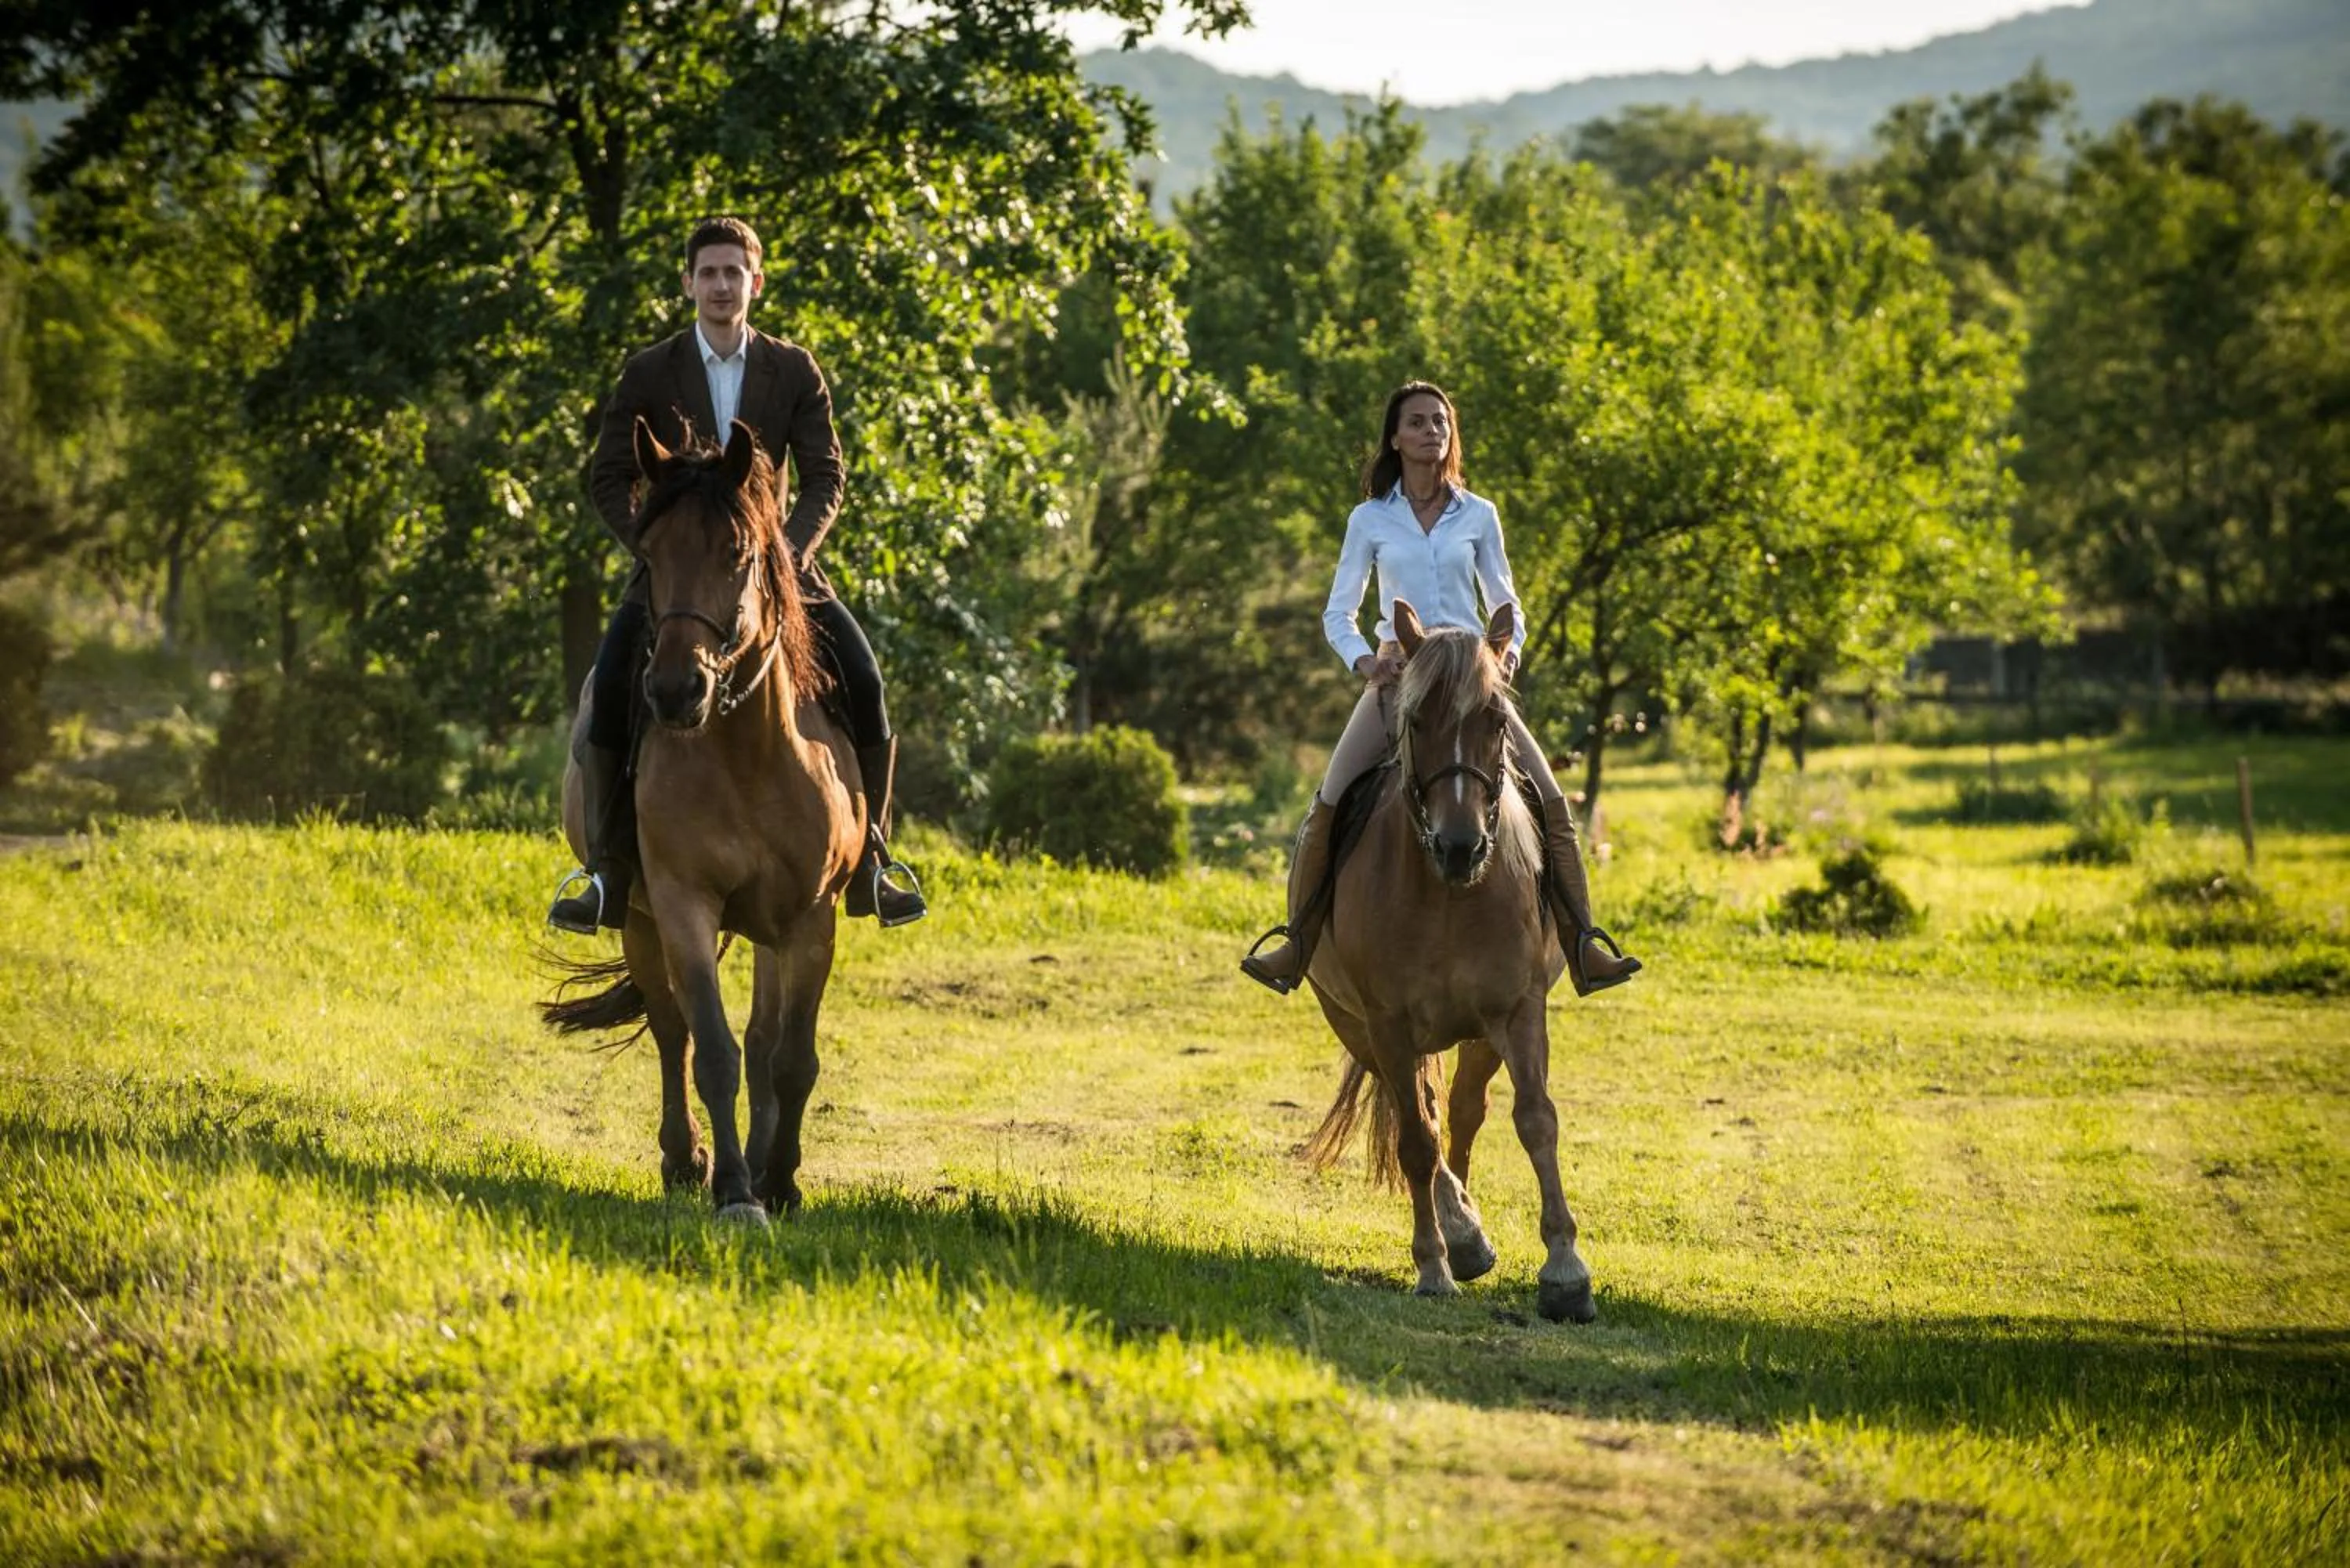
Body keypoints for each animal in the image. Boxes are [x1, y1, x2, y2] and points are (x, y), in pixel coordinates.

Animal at [541, 417, 866, 1222]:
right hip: (638, 915)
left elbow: (789, 1057)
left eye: (739, 553)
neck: (745, 751)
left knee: (763, 1038)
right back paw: (685, 1159)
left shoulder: (810, 918)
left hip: (771, 930)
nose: (676, 690)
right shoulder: (682, 903)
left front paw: (780, 1180)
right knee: (672, 1031)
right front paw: (735, 1191)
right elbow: (712, 1050)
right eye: (650, 554)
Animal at [1298, 600, 1598, 1323]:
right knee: (1426, 1122)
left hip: (1478, 1034)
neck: (1449, 895)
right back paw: (1457, 1233)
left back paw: (1467, 1230)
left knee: (1463, 1114)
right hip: (1359, 1027)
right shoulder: (1386, 1024)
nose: (1461, 847)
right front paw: (1433, 1265)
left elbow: (1536, 1121)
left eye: (1497, 721)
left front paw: (1566, 1270)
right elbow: (1414, 1140)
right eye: (1414, 720)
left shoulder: (1517, 1011)